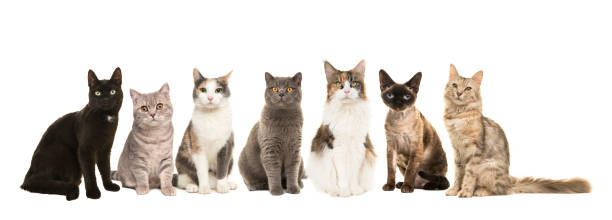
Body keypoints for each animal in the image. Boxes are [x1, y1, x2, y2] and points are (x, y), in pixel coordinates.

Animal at [20, 68, 123, 200]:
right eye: (98, 93)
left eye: (112, 92)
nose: (105, 99)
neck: (105, 118)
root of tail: (29, 174)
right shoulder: (85, 150)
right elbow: (90, 173)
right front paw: (93, 192)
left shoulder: (105, 149)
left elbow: (105, 169)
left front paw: (109, 186)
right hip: (63, 151)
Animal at [308, 60, 376, 198]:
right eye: (339, 83)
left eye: (353, 83)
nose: (346, 91)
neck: (347, 111)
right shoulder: (338, 149)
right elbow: (343, 176)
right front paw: (345, 192)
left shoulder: (358, 148)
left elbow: (353, 175)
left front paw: (355, 190)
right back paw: (335, 191)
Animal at [442, 64, 592, 198]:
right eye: (454, 85)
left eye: (468, 88)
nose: (459, 93)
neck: (458, 115)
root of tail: (509, 183)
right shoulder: (457, 151)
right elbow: (458, 175)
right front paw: (454, 190)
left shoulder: (474, 151)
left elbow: (468, 175)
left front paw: (465, 192)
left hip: (489, 168)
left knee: (499, 191)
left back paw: (481, 191)